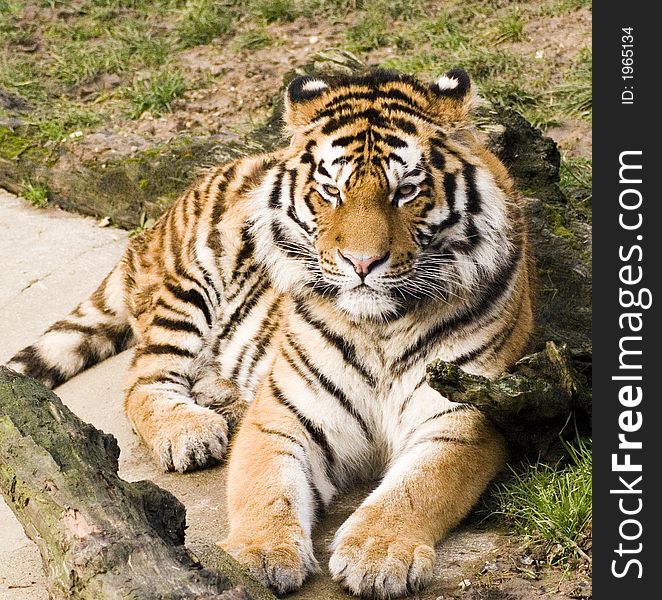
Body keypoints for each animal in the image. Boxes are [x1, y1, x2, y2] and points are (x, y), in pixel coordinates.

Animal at [6, 68, 536, 596]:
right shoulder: (284, 413)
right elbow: (266, 486)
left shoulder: (464, 413)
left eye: (406, 190)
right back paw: (191, 431)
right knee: (144, 379)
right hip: (190, 289)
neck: (380, 326)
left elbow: (416, 488)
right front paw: (258, 555)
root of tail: (154, 226)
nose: (362, 263)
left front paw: (378, 553)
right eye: (332, 191)